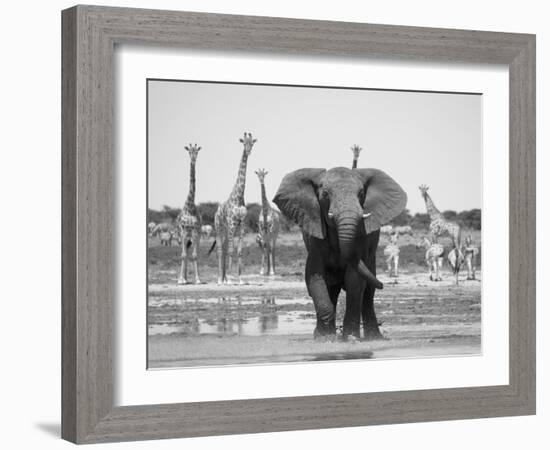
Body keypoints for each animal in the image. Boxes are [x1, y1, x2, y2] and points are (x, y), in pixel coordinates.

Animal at [216, 132, 258, 284]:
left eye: (252, 143)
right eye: (244, 143)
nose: (248, 151)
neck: (239, 196)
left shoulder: (242, 224)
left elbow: (239, 251)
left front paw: (240, 279)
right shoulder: (232, 223)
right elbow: (231, 250)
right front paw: (230, 278)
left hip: (226, 229)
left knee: (224, 248)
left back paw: (223, 278)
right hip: (219, 227)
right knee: (220, 249)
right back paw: (220, 279)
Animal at [274, 167, 408, 340]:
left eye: (361, 193)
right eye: (325, 194)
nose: (383, 285)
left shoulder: (361, 238)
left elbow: (354, 280)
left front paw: (350, 338)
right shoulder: (315, 237)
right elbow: (315, 276)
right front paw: (324, 339)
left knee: (368, 292)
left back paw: (373, 337)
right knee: (332, 288)